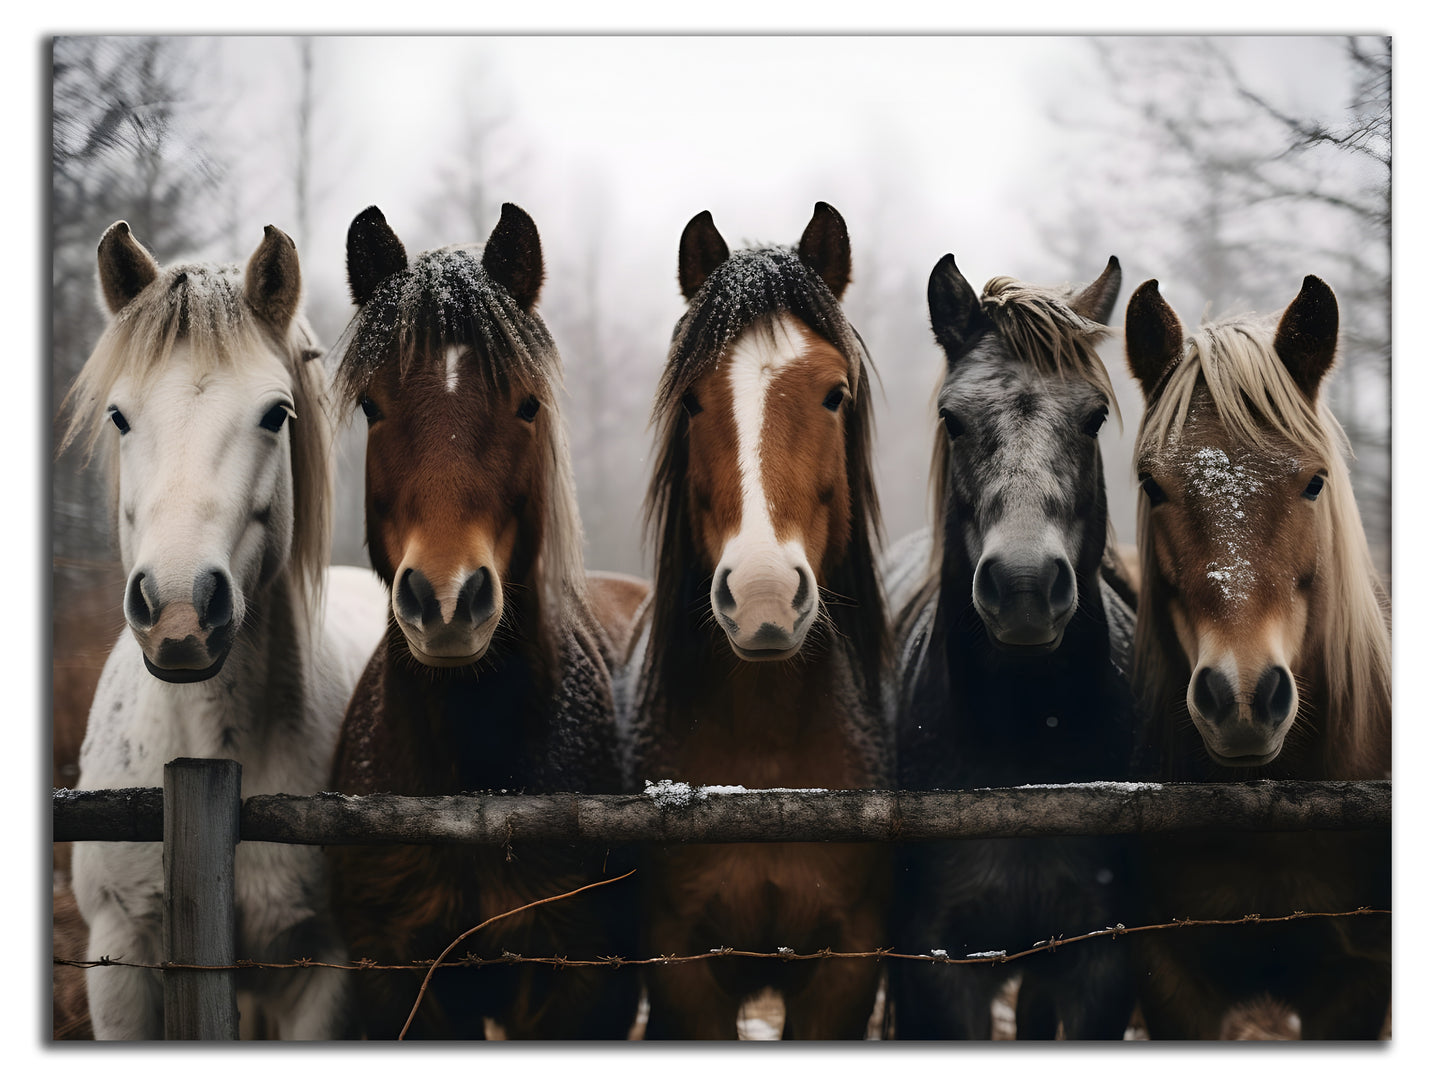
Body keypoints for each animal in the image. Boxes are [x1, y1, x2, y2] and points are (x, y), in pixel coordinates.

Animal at [325, 204, 647, 1040]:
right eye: (372, 406)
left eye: (526, 404)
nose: (445, 600)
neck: (470, 793)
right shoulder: (397, 977)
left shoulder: (584, 983)